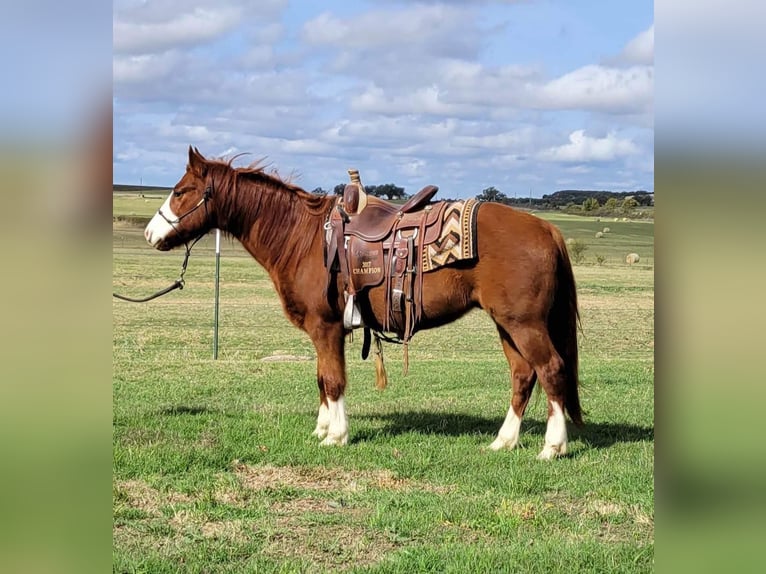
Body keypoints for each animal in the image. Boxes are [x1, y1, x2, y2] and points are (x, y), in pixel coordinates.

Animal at [147, 147, 584, 460]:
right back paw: (503, 441)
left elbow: (334, 380)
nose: (151, 233)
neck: (303, 238)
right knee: (523, 376)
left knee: (551, 370)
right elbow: (321, 379)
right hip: (507, 324)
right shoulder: (323, 332)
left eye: (181, 191)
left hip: (524, 324)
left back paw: (552, 447)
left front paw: (336, 436)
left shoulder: (326, 327)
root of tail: (546, 228)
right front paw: (322, 428)